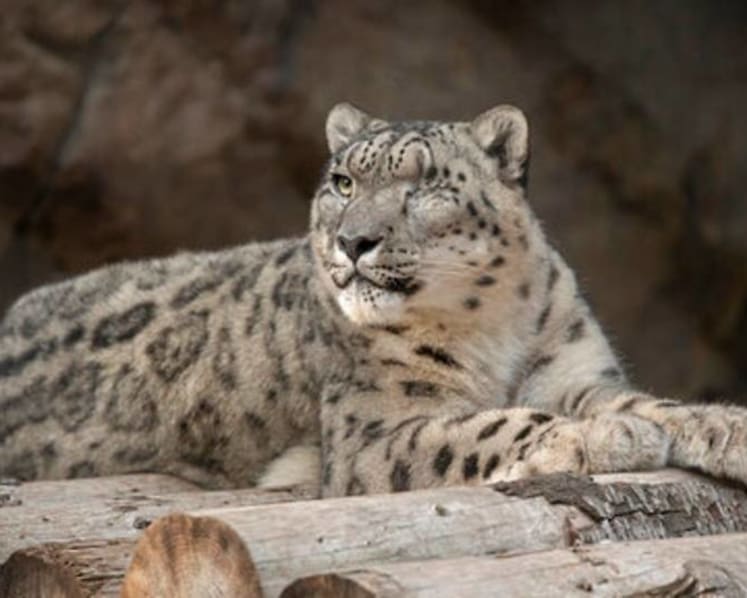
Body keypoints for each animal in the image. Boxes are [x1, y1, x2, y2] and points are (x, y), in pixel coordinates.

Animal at [2, 101, 746, 502]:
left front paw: (722, 428)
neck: (495, 327)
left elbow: (650, 403)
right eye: (342, 182)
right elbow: (484, 426)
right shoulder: (377, 429)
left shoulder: (574, 374)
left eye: (426, 185)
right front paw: (598, 438)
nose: (353, 241)